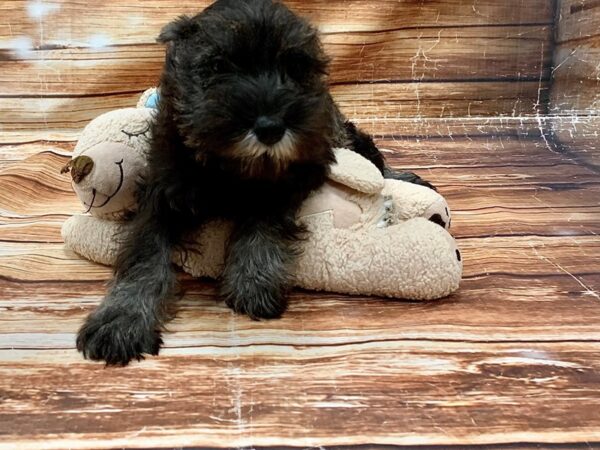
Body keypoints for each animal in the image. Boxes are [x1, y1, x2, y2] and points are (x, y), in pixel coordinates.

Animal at [76, 0, 432, 366]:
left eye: (295, 67)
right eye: (217, 66)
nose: (270, 128)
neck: (230, 169)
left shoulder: (291, 176)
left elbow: (263, 220)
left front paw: (254, 280)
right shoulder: (161, 196)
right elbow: (145, 255)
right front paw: (122, 319)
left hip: (335, 130)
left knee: (367, 152)